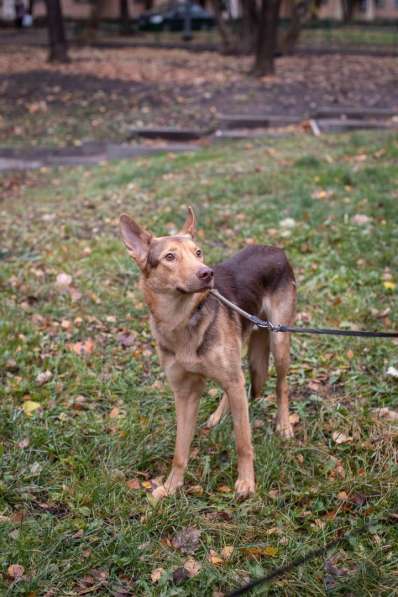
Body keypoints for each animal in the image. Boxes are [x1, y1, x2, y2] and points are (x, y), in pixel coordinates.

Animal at [119, 207, 296, 496]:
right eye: (170, 257)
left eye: (198, 252)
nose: (207, 273)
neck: (181, 320)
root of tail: (275, 249)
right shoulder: (184, 393)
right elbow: (180, 450)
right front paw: (170, 487)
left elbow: (243, 442)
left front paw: (246, 483)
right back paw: (218, 415)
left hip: (279, 340)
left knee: (280, 386)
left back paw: (283, 425)